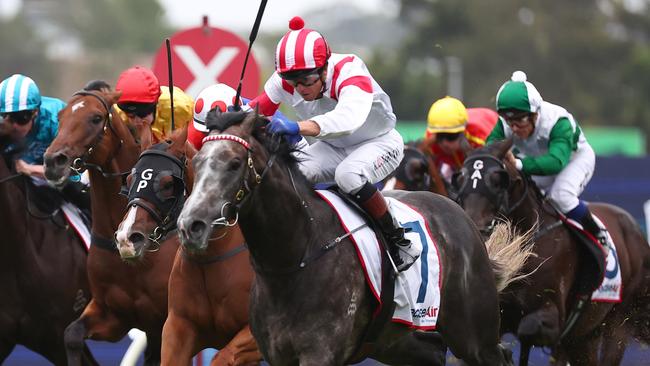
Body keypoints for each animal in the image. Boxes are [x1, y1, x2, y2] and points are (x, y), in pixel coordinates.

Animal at [43, 90, 177, 364]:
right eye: (60, 116)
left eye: (96, 118)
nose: (53, 161)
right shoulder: (112, 314)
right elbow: (72, 335)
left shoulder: (165, 320)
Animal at [112, 127, 260, 364]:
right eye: (130, 178)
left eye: (167, 184)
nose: (127, 237)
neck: (212, 257)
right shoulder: (178, 327)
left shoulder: (254, 334)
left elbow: (222, 357)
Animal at [454, 139, 650, 364]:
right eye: (461, 179)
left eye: (497, 180)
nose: (473, 227)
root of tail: (637, 235)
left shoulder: (554, 318)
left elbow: (527, 329)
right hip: (585, 336)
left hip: (618, 323)